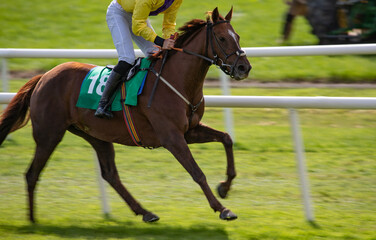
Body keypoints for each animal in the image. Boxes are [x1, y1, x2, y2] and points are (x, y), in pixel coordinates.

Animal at [0, 8, 253, 224]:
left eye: (238, 36)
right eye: (222, 38)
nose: (244, 68)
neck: (177, 80)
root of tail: (43, 76)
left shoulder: (189, 130)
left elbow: (226, 138)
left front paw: (225, 186)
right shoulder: (172, 137)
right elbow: (197, 172)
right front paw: (222, 209)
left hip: (96, 136)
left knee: (110, 174)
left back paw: (146, 212)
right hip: (49, 134)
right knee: (32, 174)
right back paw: (32, 220)